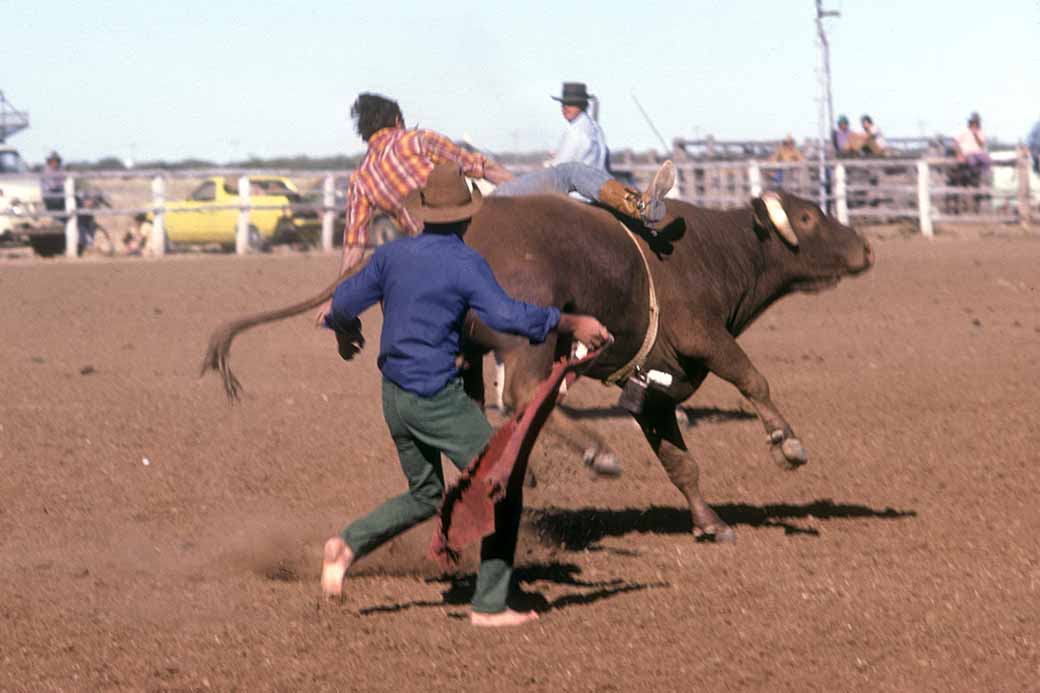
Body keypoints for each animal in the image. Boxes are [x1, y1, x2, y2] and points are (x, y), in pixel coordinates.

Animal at [200, 189, 869, 541]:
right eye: (808, 217)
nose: (865, 246)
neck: (712, 250)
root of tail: (445, 233)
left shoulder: (656, 386)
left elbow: (681, 462)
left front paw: (710, 523)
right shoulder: (703, 337)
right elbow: (754, 377)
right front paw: (787, 443)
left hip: (463, 351)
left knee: (477, 406)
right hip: (526, 332)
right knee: (521, 393)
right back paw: (596, 452)